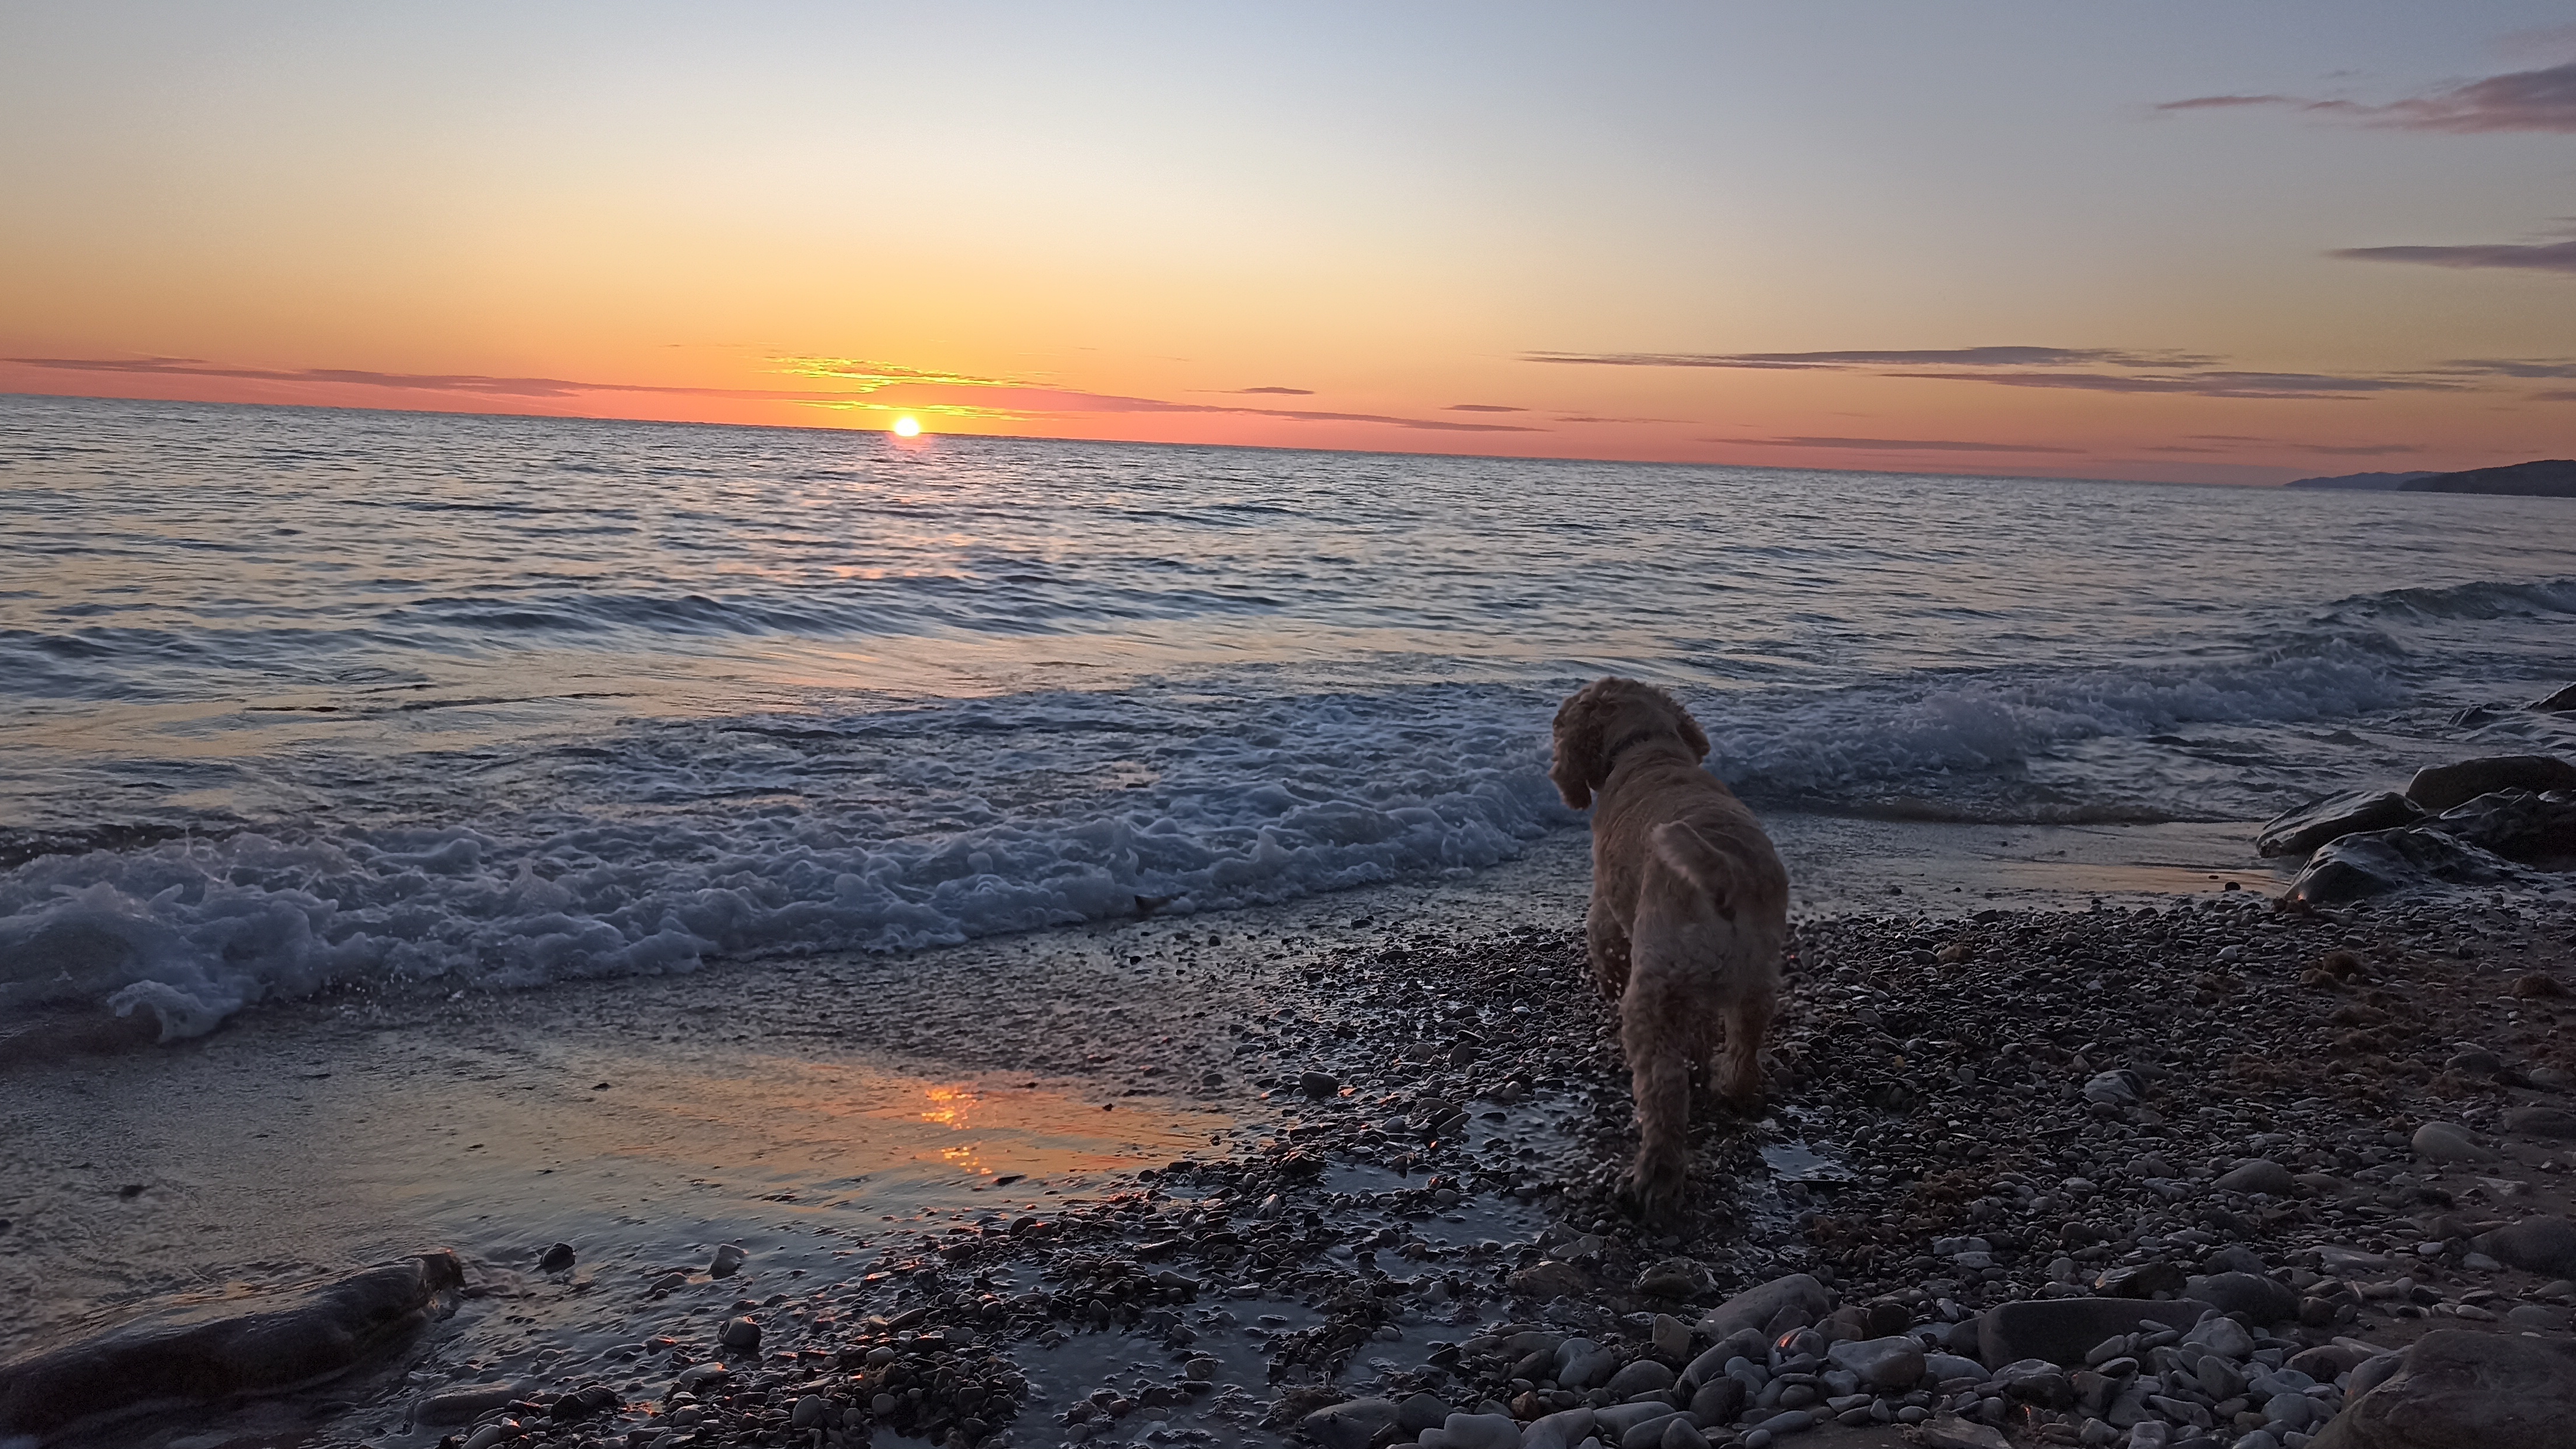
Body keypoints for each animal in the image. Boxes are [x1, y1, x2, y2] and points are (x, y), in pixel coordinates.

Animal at [1545, 670, 1793, 1212]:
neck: (1647, 746)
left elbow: (1602, 940)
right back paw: (1733, 1085)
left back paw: (1653, 1175)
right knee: (1745, 1043)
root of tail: (1725, 872)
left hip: (1654, 993)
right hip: (1755, 982)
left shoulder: (1607, 902)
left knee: (1664, 1088)